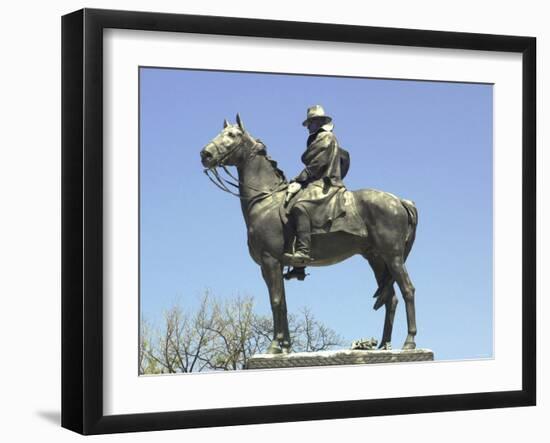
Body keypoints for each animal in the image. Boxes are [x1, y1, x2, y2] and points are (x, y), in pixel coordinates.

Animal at [201, 114, 420, 354]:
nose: (205, 154)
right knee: (391, 298)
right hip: (377, 259)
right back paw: (384, 345)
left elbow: (275, 301)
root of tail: (399, 201)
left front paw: (274, 346)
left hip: (393, 257)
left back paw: (409, 342)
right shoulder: (274, 265)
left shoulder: (269, 261)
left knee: (408, 290)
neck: (266, 200)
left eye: (232, 135)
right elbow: (283, 304)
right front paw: (286, 347)